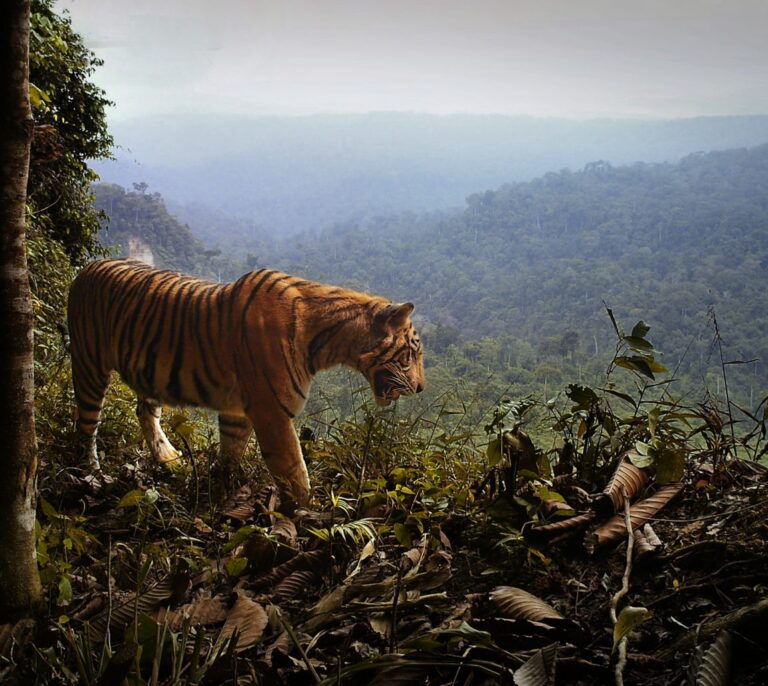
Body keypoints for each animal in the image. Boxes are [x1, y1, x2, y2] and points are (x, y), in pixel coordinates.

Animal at [67, 258, 425, 505]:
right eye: (411, 354)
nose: (422, 388)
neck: (328, 342)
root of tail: (87, 268)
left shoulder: (237, 411)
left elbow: (231, 450)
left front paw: (220, 488)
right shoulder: (272, 413)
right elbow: (294, 470)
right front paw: (310, 513)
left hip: (148, 374)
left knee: (144, 411)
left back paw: (168, 457)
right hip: (89, 367)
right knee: (85, 427)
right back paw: (90, 475)